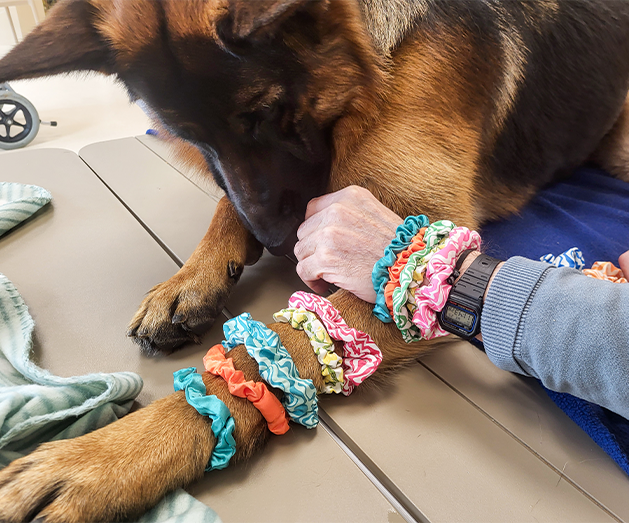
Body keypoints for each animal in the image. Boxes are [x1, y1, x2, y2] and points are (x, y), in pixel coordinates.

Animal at [1, 0, 628, 520]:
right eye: (189, 135)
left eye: (268, 111)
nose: (279, 243)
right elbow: (229, 202)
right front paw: (192, 277)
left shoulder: (408, 255)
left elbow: (269, 349)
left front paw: (104, 460)